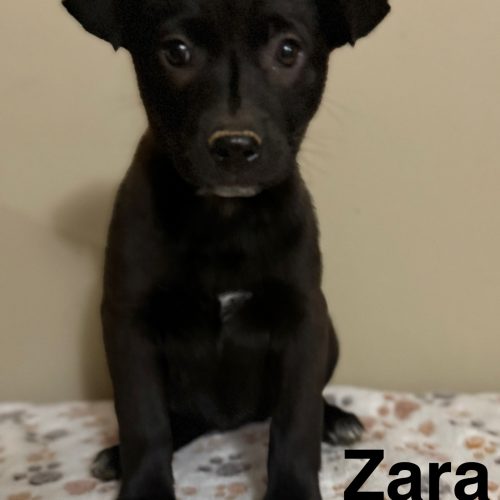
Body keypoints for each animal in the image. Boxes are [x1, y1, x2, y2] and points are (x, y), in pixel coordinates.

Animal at [63, 1, 390, 498]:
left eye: (288, 50)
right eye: (176, 51)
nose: (235, 146)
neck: (224, 217)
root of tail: (227, 420)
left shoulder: (304, 319)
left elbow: (295, 421)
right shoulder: (129, 323)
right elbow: (144, 421)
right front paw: (144, 486)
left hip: (329, 335)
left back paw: (335, 419)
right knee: (175, 420)